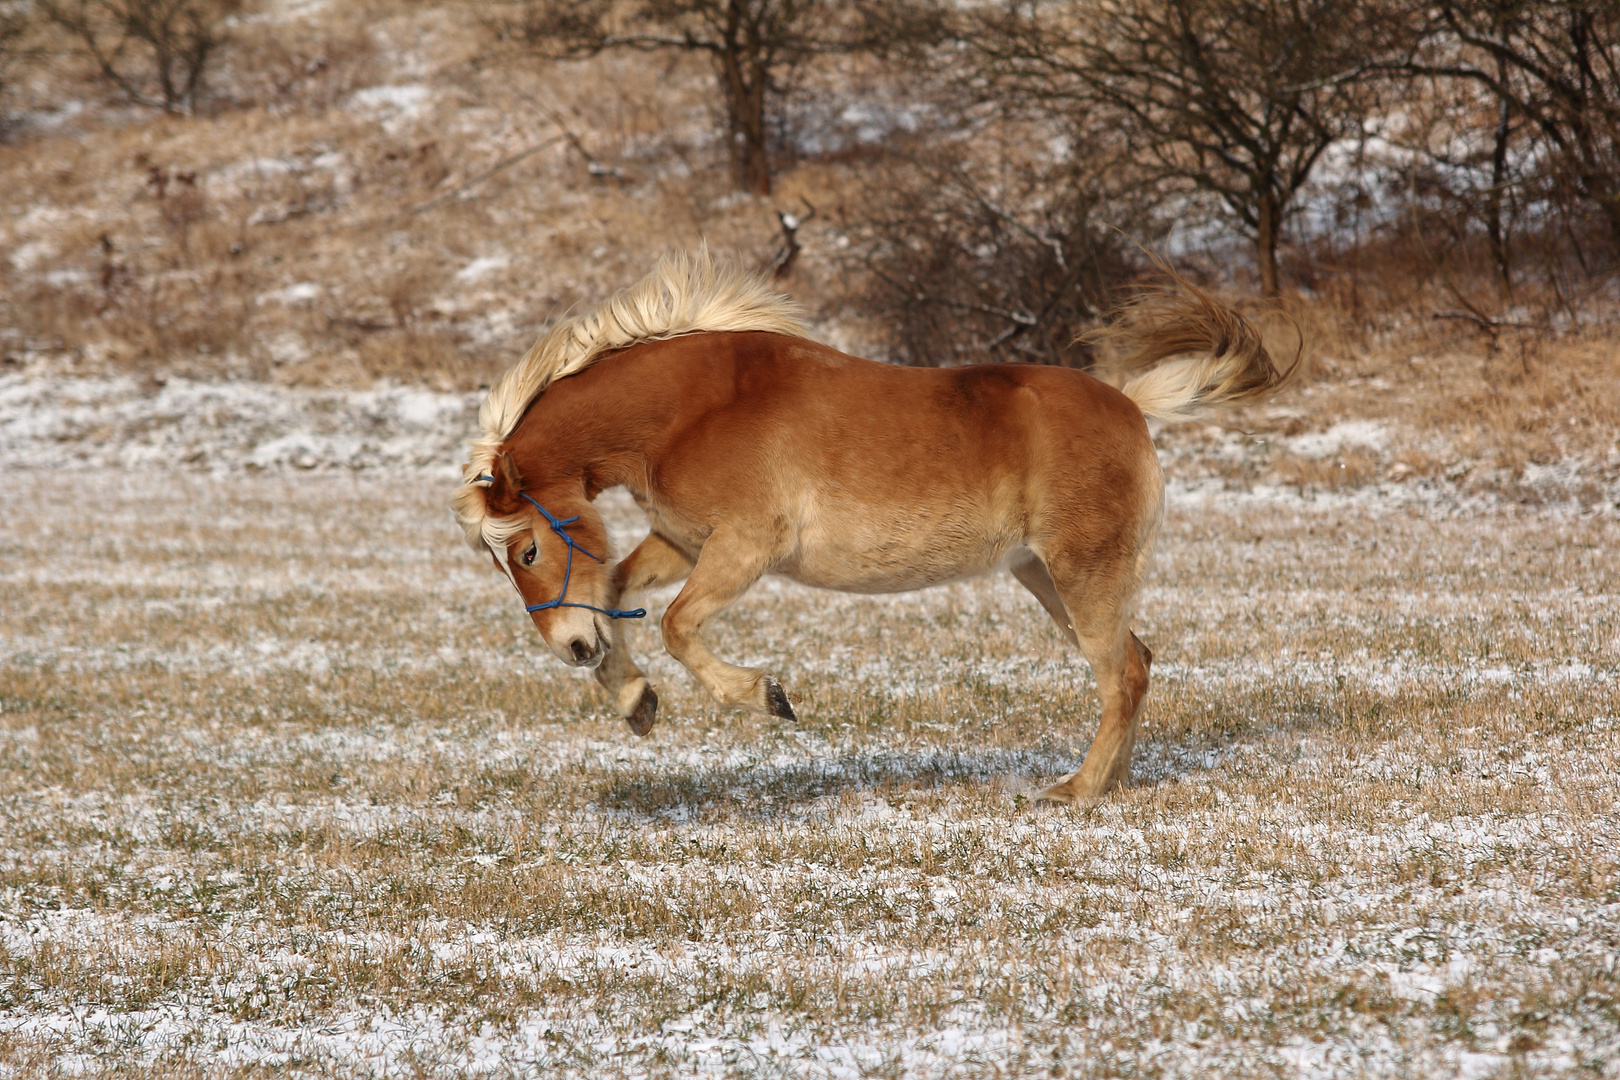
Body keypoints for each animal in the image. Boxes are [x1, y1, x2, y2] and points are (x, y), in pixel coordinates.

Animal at [450, 250, 1296, 803]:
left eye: (527, 547)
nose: (570, 648)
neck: (691, 408)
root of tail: (1132, 405)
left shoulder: (744, 548)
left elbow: (679, 625)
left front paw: (767, 696)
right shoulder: (684, 541)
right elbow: (621, 588)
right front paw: (634, 701)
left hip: (1082, 574)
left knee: (1121, 673)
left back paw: (1077, 791)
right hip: (1048, 576)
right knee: (1136, 664)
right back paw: (1109, 782)